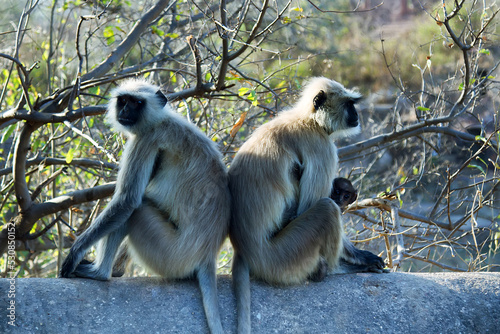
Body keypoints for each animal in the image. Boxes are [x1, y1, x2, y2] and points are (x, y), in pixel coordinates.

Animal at [60, 79, 230, 334]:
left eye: (136, 103)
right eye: (123, 101)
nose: (124, 111)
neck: (161, 119)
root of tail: (208, 255)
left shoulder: (147, 139)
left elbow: (127, 201)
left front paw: (75, 253)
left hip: (172, 256)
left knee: (135, 210)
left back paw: (101, 273)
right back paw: (116, 271)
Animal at [229, 77, 388, 332]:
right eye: (349, 104)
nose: (356, 115)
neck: (309, 119)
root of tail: (246, 250)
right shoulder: (321, 145)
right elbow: (311, 205)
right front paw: (360, 258)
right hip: (284, 256)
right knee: (326, 209)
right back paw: (336, 269)